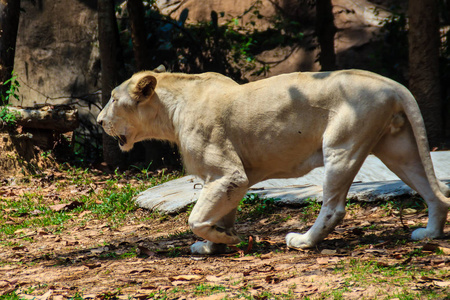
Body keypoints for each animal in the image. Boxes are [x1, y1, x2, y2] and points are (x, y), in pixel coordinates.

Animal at [96, 67, 448, 254]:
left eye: (113, 99)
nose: (99, 122)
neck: (170, 110)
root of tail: (390, 83)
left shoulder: (228, 173)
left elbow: (195, 219)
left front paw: (226, 240)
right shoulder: (224, 179)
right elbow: (218, 215)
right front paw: (214, 245)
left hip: (341, 145)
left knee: (334, 207)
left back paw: (303, 241)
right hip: (398, 150)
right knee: (436, 195)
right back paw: (429, 234)